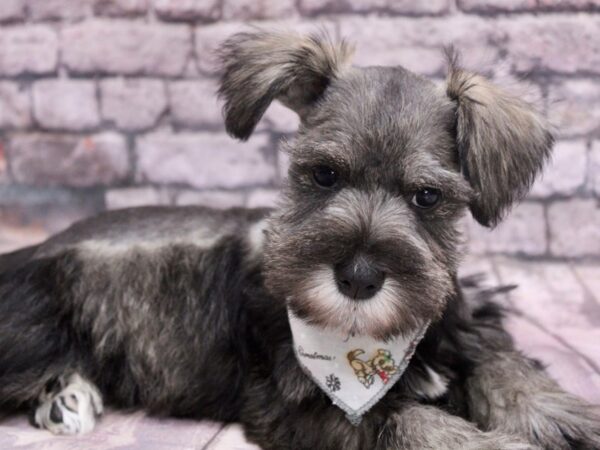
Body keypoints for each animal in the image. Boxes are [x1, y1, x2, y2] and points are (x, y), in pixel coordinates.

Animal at [1, 29, 600, 448]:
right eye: (324, 175)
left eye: (427, 197)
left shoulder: (469, 323)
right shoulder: (303, 405)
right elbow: (417, 426)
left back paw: (68, 398)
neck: (374, 344)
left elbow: (505, 367)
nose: (358, 277)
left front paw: (565, 418)